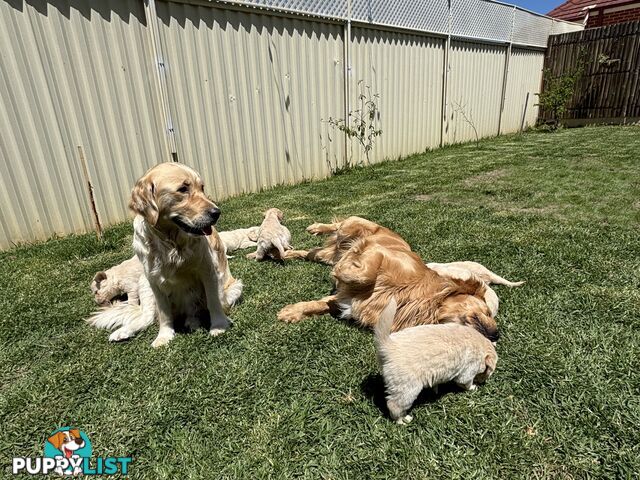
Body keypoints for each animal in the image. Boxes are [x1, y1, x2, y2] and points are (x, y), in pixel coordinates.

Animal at [86, 163, 241, 346]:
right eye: (183, 189)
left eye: (202, 188)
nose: (216, 212)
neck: (171, 241)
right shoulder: (153, 279)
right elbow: (164, 313)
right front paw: (164, 336)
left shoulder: (208, 269)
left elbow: (213, 301)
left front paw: (219, 326)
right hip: (144, 284)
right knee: (146, 317)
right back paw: (122, 332)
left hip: (234, 288)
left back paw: (193, 322)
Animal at [276, 236, 500, 342]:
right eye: (487, 311)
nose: (497, 335)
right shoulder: (379, 253)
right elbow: (363, 272)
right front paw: (341, 270)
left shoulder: (346, 302)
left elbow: (323, 303)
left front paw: (293, 312)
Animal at [376, 298, 500, 426]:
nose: (483, 382)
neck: (481, 345)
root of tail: (388, 346)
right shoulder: (468, 371)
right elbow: (466, 383)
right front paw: (473, 387)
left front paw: (435, 389)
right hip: (407, 388)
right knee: (394, 405)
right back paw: (403, 420)